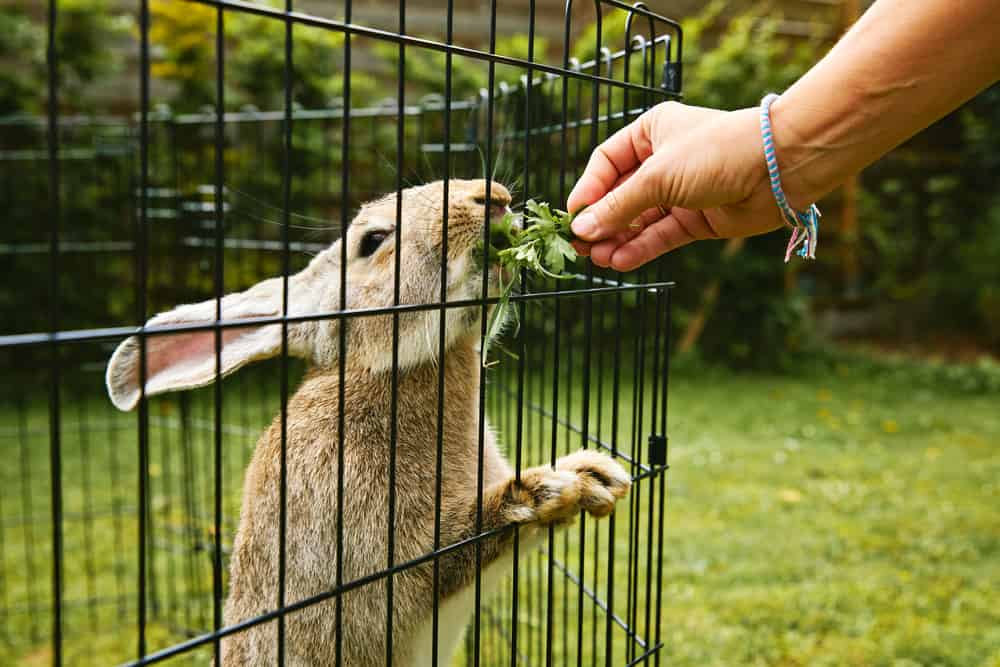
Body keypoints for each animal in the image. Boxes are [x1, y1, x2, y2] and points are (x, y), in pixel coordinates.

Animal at [105, 179, 628, 667]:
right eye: (373, 240)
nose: (492, 196)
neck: (384, 368)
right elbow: (459, 545)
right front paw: (551, 488)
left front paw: (596, 476)